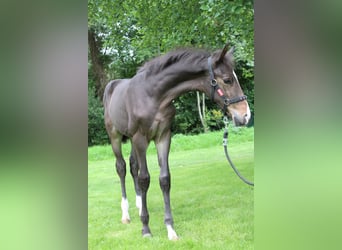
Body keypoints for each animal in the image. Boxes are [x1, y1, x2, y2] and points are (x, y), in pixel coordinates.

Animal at [103, 43, 250, 240]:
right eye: (227, 80)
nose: (245, 115)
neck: (153, 96)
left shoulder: (163, 136)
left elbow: (164, 179)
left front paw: (170, 229)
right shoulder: (140, 138)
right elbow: (144, 178)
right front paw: (146, 228)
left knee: (133, 166)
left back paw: (140, 205)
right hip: (116, 136)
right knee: (121, 167)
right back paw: (126, 214)